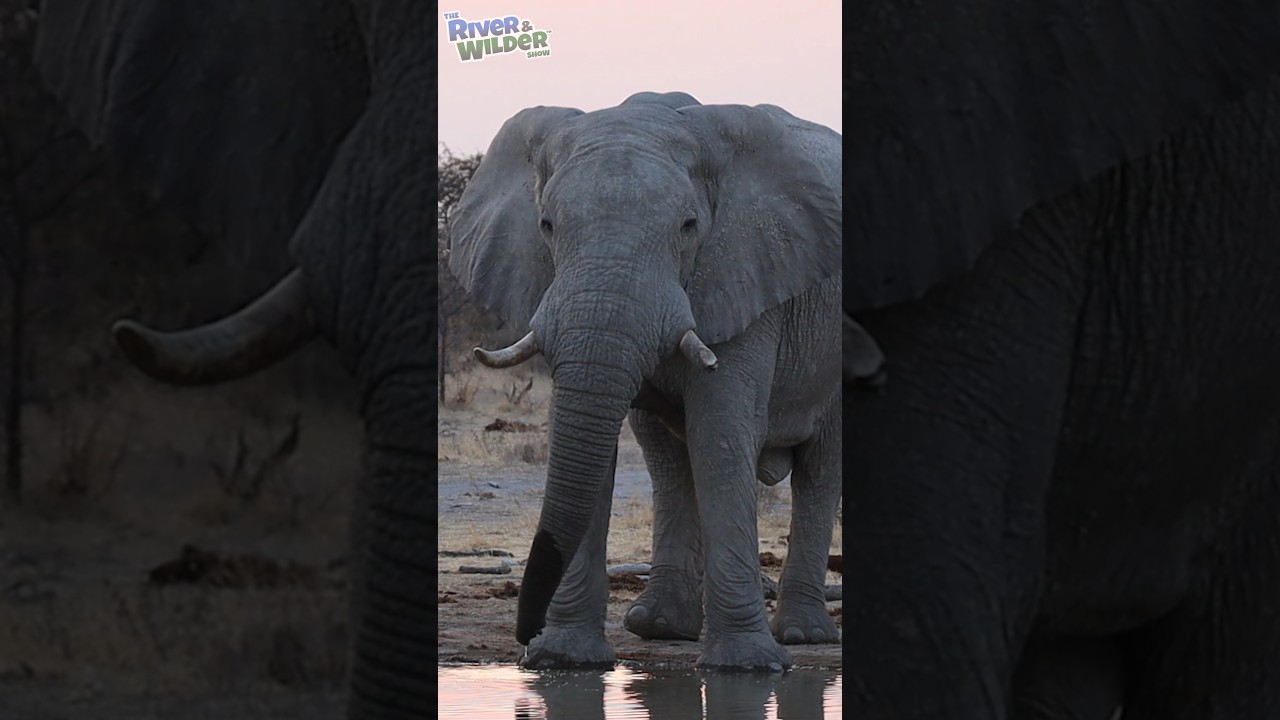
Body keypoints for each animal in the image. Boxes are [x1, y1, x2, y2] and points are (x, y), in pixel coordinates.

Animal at [448, 91, 849, 670]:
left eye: (688, 226)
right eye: (546, 225)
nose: (525, 639)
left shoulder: (744, 271)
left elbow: (721, 433)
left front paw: (748, 668)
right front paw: (565, 660)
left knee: (820, 468)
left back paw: (801, 635)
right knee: (667, 456)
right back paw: (660, 627)